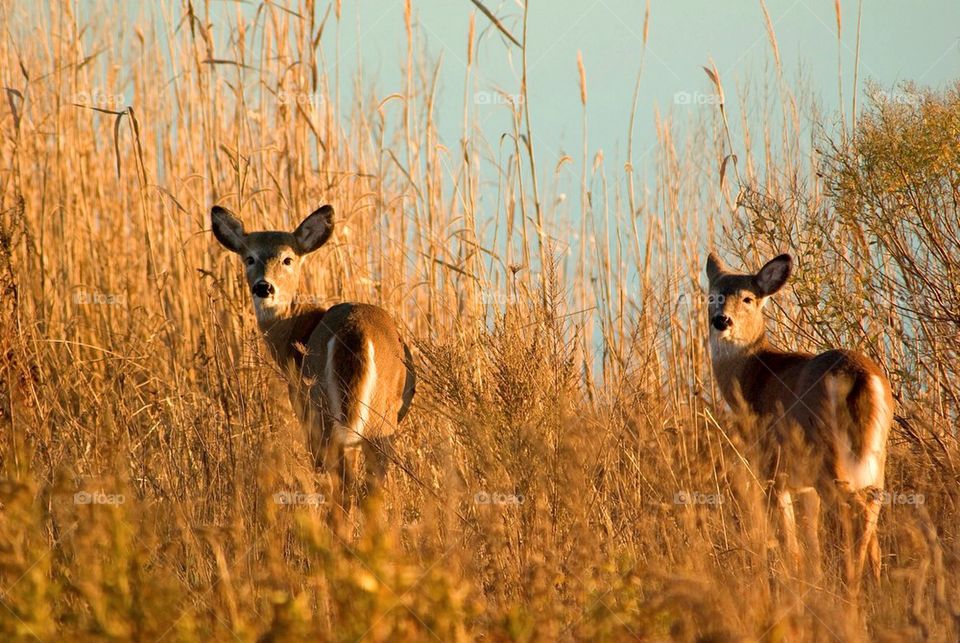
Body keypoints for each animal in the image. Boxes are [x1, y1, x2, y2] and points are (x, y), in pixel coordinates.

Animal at [212, 204, 414, 506]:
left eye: (287, 259)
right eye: (249, 258)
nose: (263, 287)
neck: (297, 330)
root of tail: (355, 331)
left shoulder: (302, 408)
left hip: (329, 413)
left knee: (342, 487)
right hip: (376, 424)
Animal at [704, 252, 892, 592]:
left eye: (748, 298)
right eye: (713, 295)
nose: (722, 320)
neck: (753, 376)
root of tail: (860, 376)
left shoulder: (772, 469)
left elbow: (790, 544)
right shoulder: (802, 485)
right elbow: (811, 542)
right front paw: (812, 582)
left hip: (827, 454)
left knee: (854, 508)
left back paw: (852, 583)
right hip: (874, 456)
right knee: (873, 504)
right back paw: (874, 582)